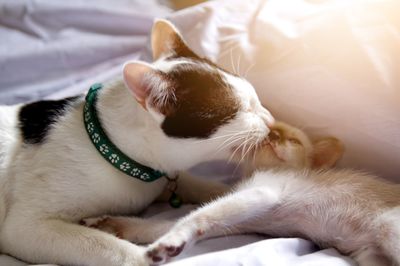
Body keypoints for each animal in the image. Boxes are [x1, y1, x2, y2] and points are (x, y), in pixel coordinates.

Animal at [0, 19, 274, 266]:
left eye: (255, 99)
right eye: (239, 110)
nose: (271, 121)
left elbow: (199, 184)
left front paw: (232, 190)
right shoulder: (26, 227)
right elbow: (107, 246)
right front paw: (143, 257)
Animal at [90, 121, 400, 264]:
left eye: (293, 140)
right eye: (269, 131)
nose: (273, 135)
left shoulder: (263, 193)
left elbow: (193, 218)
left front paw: (170, 243)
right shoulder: (244, 219)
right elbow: (161, 224)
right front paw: (115, 225)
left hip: (388, 228)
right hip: (371, 256)